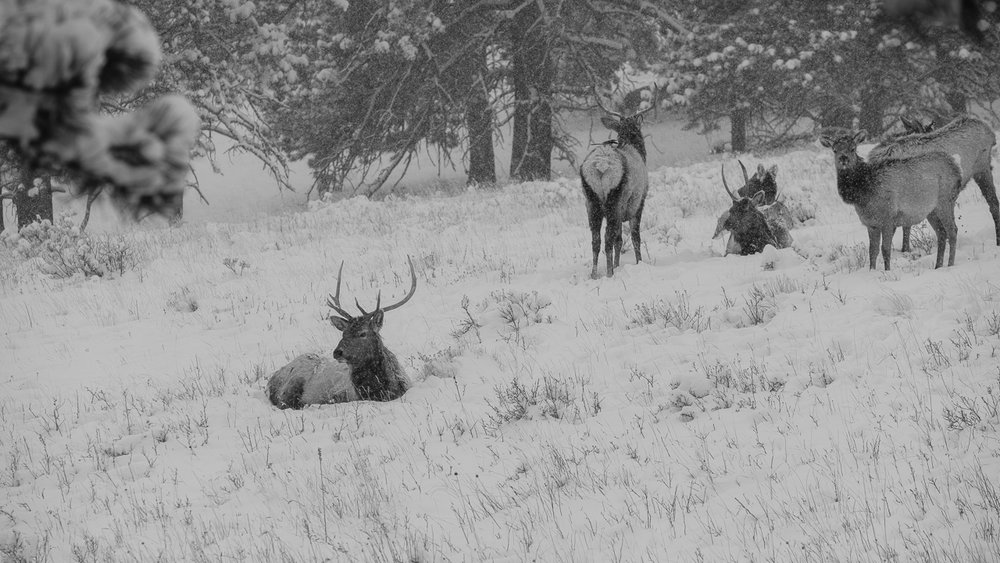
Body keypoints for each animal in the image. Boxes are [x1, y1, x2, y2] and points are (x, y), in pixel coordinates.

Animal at [580, 91, 656, 278]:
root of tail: (600, 167)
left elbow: (619, 240)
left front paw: (617, 264)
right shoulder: (638, 203)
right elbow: (634, 237)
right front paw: (638, 262)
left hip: (591, 203)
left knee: (596, 241)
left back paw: (594, 274)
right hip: (614, 201)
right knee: (607, 239)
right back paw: (609, 273)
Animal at [816, 132, 964, 274]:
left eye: (853, 148)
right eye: (834, 150)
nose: (843, 158)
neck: (864, 195)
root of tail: (957, 169)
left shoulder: (888, 219)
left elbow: (886, 249)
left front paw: (887, 271)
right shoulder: (871, 224)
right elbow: (872, 251)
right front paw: (872, 271)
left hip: (945, 201)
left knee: (953, 231)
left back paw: (950, 264)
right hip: (931, 211)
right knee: (941, 233)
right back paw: (938, 266)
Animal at [868, 114, 1000, 251]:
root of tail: (989, 131)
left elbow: (904, 226)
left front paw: (905, 249)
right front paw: (905, 249)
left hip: (981, 168)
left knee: (994, 205)